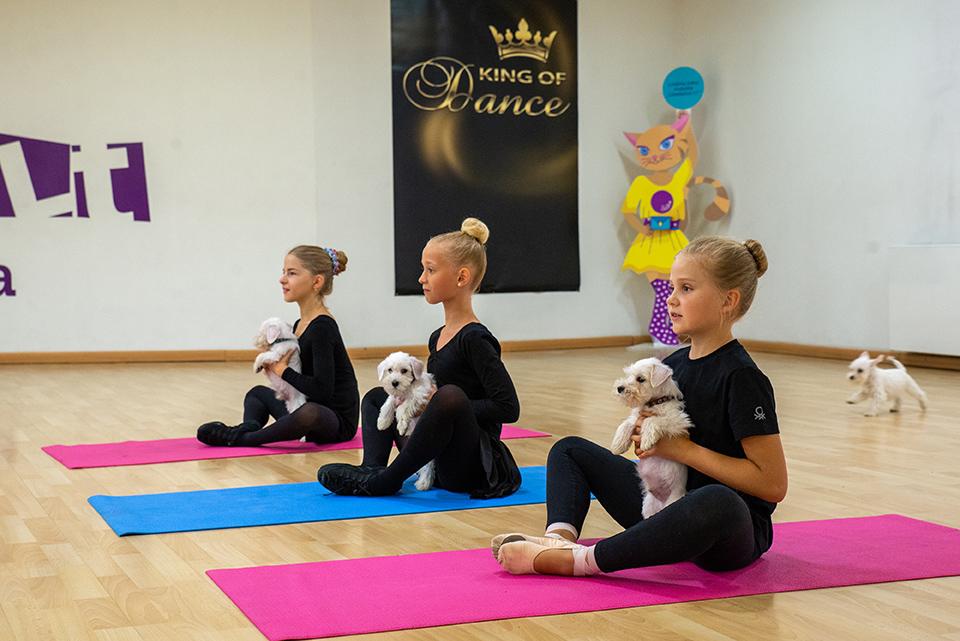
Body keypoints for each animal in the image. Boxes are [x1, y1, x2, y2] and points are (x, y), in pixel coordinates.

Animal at [376, 351, 437, 491]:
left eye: (404, 371)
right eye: (389, 370)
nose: (394, 383)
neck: (406, 389)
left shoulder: (419, 395)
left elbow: (403, 407)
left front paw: (401, 425)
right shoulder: (395, 396)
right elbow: (388, 404)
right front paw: (383, 422)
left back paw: (424, 483)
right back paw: (423, 483)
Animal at [610, 357, 693, 519]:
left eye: (640, 379)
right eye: (629, 375)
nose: (620, 388)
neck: (653, 403)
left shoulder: (678, 422)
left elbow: (653, 420)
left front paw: (647, 440)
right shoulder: (636, 418)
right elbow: (626, 424)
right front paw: (618, 445)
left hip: (673, 501)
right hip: (648, 505)